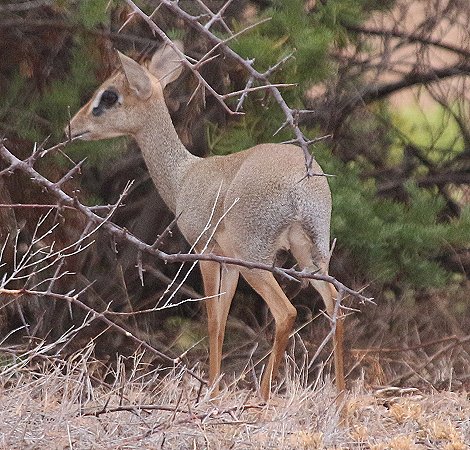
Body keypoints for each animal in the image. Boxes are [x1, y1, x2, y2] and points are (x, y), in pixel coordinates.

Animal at [67, 43, 346, 400]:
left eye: (110, 95)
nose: (72, 126)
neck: (184, 176)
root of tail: (302, 185)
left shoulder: (205, 252)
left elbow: (212, 319)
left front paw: (212, 391)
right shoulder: (228, 262)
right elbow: (223, 317)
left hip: (257, 260)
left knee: (287, 312)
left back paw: (263, 396)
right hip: (311, 254)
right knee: (334, 302)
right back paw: (340, 399)